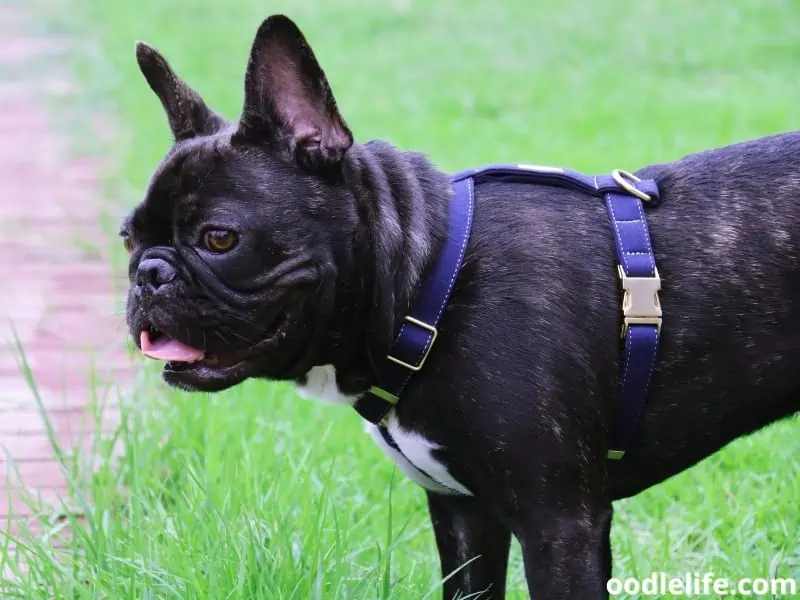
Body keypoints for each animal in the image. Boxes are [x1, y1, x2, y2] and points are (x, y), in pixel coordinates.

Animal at [123, 14, 800, 600]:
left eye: (219, 238)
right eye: (128, 238)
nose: (148, 274)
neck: (428, 291)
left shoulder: (562, 525)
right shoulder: (464, 517)